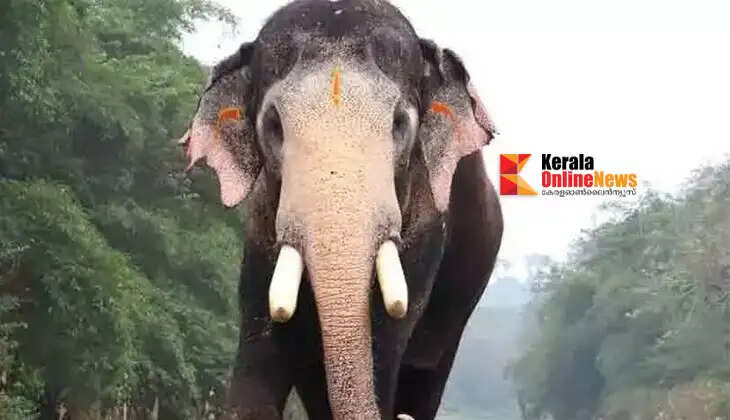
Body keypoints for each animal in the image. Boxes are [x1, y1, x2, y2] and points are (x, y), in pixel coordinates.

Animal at [178, 0, 503, 419]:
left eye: (399, 123)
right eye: (274, 125)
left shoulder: (428, 224)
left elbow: (384, 343)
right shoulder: (261, 226)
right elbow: (262, 349)